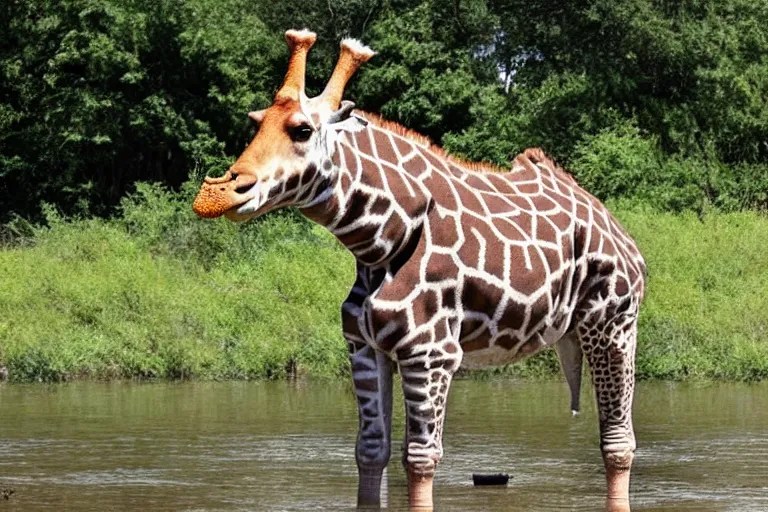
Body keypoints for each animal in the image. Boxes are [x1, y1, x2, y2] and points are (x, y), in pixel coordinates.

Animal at [193, 30, 646, 512]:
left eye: (302, 129)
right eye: (256, 121)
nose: (219, 194)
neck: (378, 241)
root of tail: (622, 234)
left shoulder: (430, 352)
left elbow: (421, 459)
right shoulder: (365, 348)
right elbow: (371, 451)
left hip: (613, 325)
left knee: (618, 442)